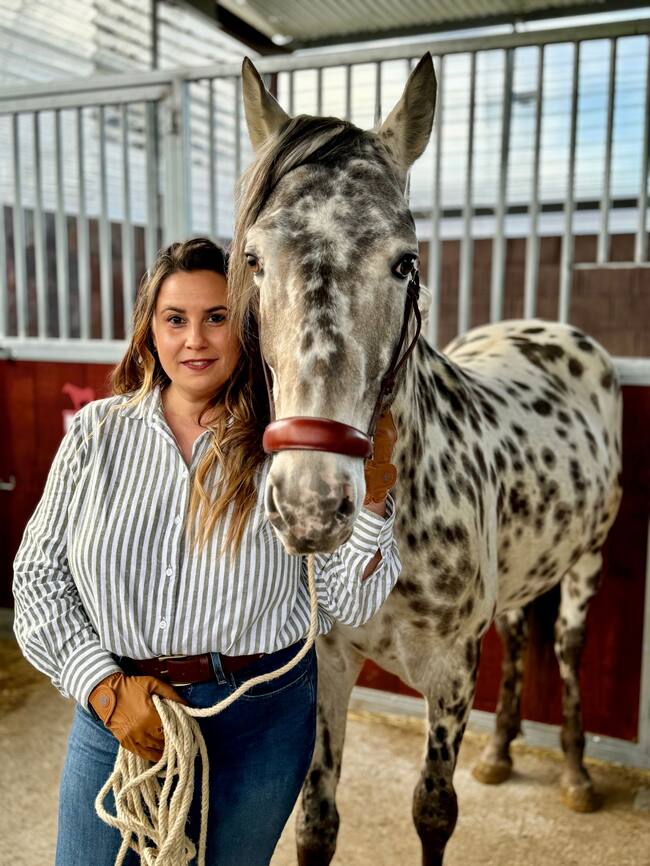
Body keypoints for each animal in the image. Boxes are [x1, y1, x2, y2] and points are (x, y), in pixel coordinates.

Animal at [233, 54, 623, 866]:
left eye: (405, 262)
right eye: (254, 258)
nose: (311, 506)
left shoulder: (450, 675)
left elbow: (434, 811)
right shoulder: (329, 665)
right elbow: (317, 820)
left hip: (587, 560)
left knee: (566, 649)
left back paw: (575, 773)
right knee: (522, 635)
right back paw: (501, 754)